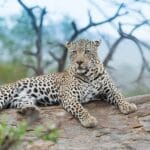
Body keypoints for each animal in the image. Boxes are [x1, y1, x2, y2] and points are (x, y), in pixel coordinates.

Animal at [0, 39, 137, 127]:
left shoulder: (108, 90)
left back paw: (30, 110)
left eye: (87, 51)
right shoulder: (69, 96)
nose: (79, 62)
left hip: (22, 99)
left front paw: (128, 106)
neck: (89, 75)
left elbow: (119, 95)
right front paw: (88, 120)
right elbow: (79, 108)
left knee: (22, 104)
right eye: (74, 52)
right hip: (6, 92)